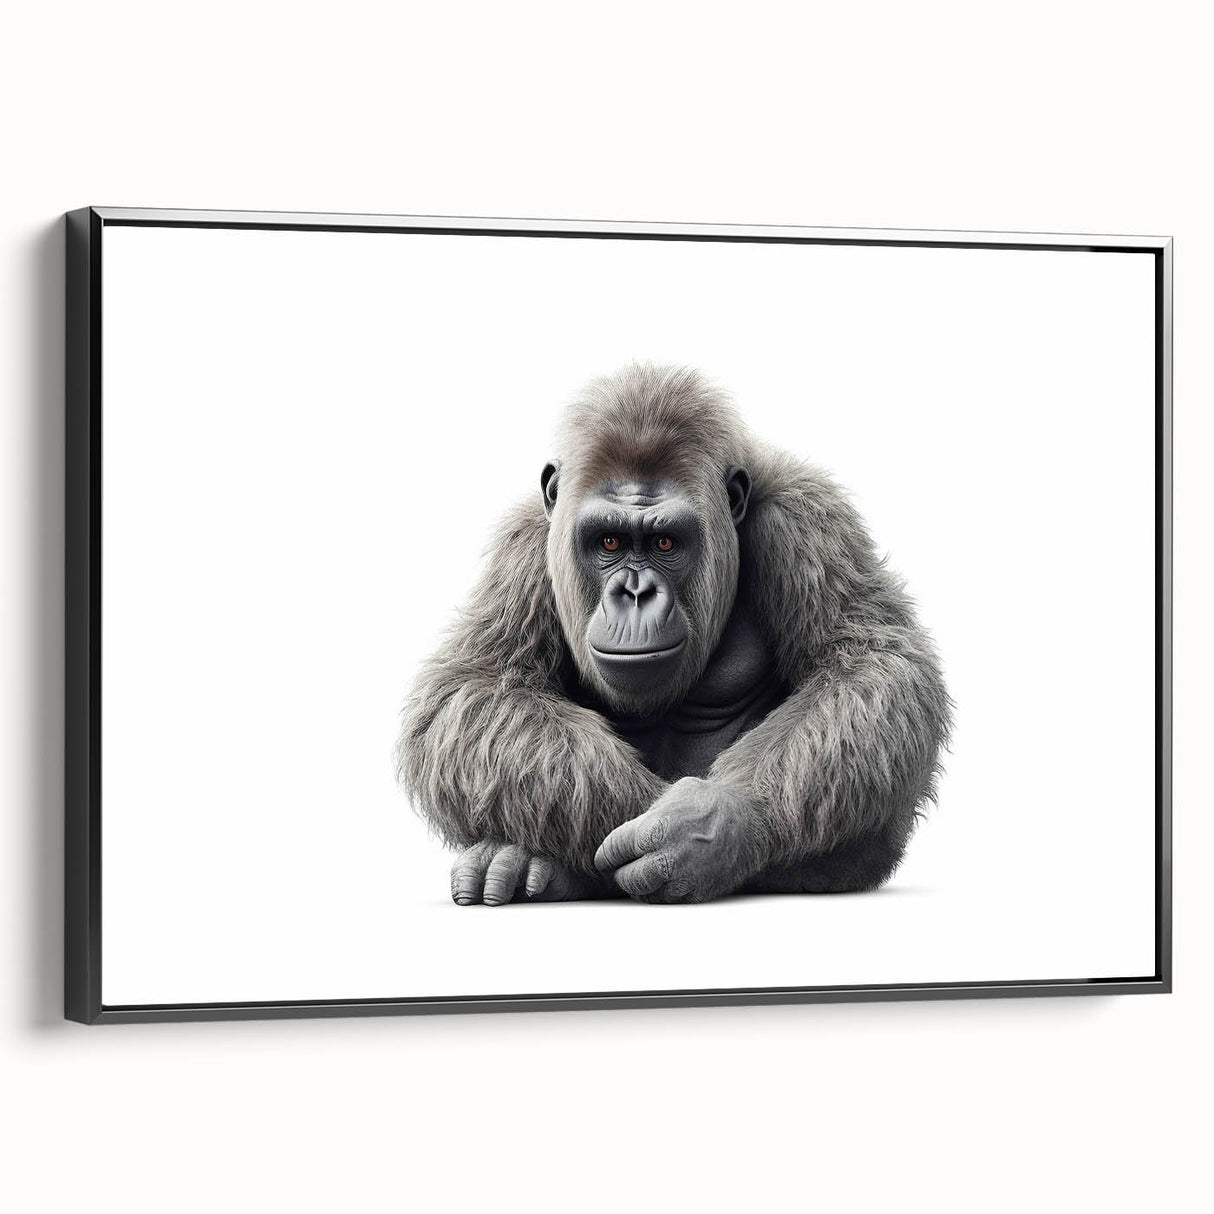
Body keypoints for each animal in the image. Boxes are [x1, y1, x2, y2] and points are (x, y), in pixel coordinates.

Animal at [396, 364, 950, 905]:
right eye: (609, 541)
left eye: (665, 542)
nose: (635, 592)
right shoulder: (527, 541)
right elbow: (477, 686)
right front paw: (638, 820)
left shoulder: (805, 516)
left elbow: (869, 662)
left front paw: (712, 824)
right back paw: (522, 863)